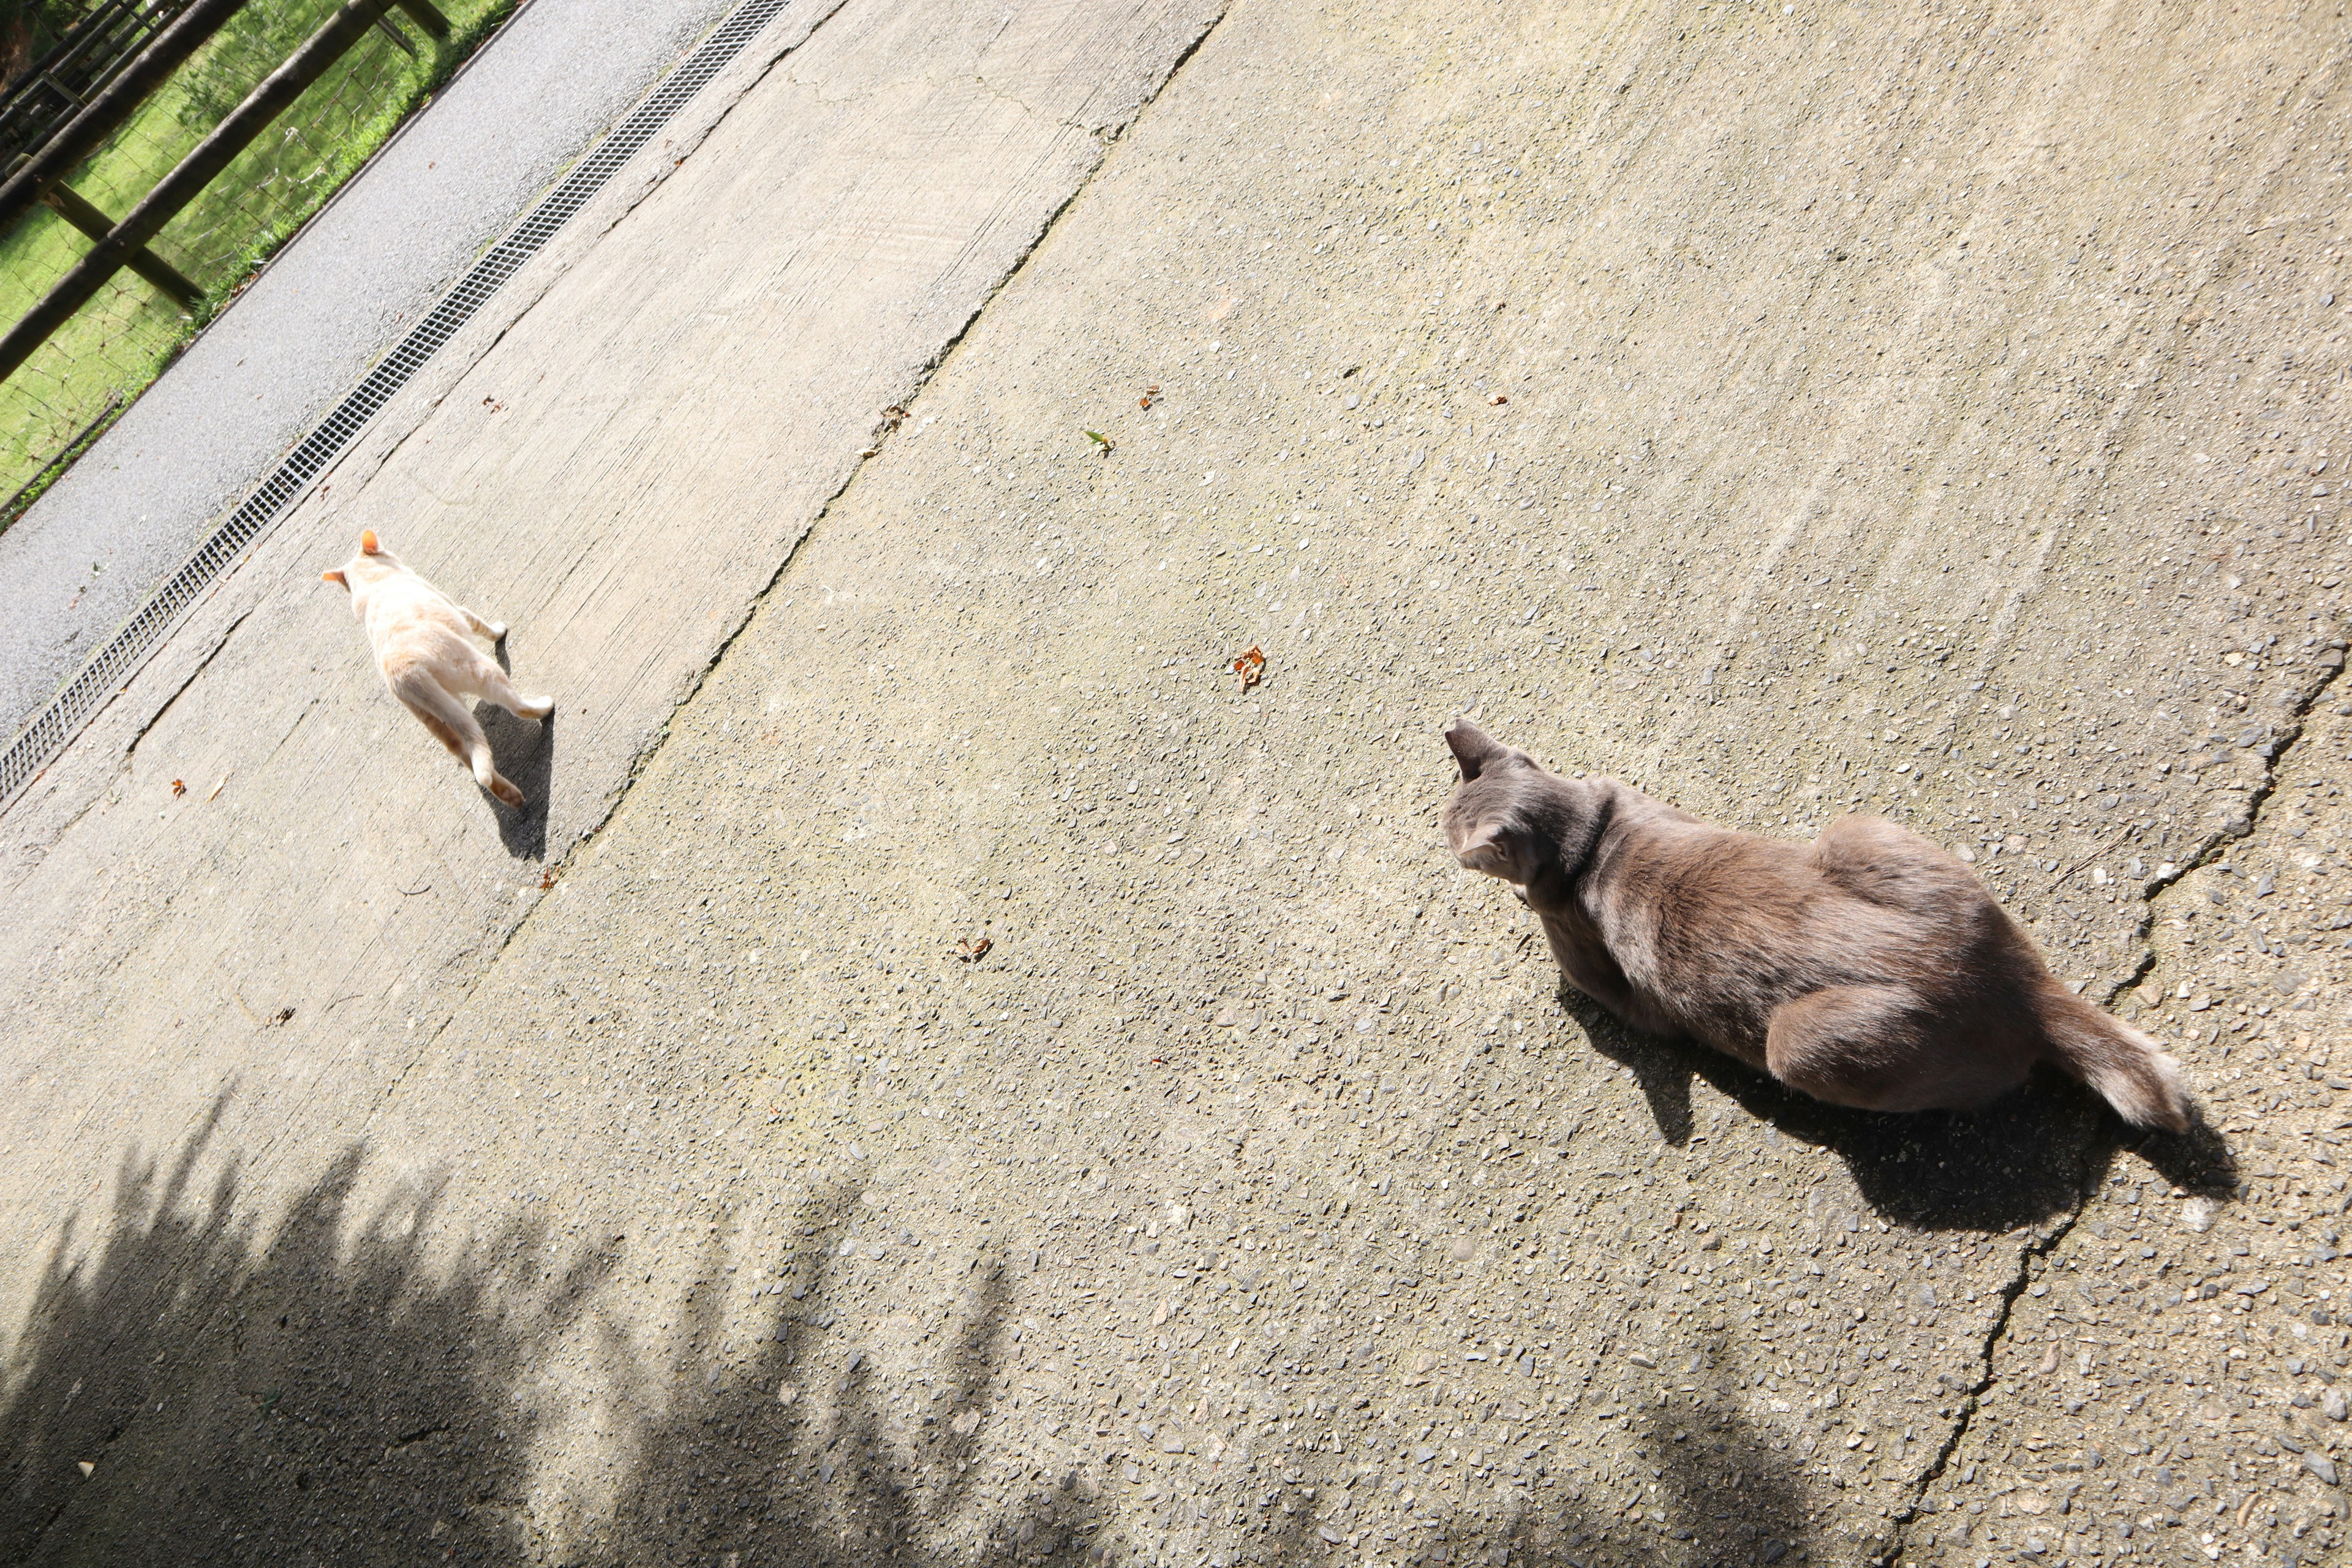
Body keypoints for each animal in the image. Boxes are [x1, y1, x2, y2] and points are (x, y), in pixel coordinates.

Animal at [322, 536, 550, 809]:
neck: (370, 583)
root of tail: (401, 674)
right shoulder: (456, 607)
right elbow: (481, 625)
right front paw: (499, 631)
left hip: (439, 719)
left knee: (471, 761)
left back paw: (512, 797)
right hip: (478, 669)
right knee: (516, 707)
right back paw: (544, 708)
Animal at [1439, 719, 2192, 1133]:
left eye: (1448, 834)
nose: (1437, 838)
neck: (1591, 836)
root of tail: (2012, 988)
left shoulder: (1603, 979)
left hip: (1796, 1044)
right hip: (1858, 831)